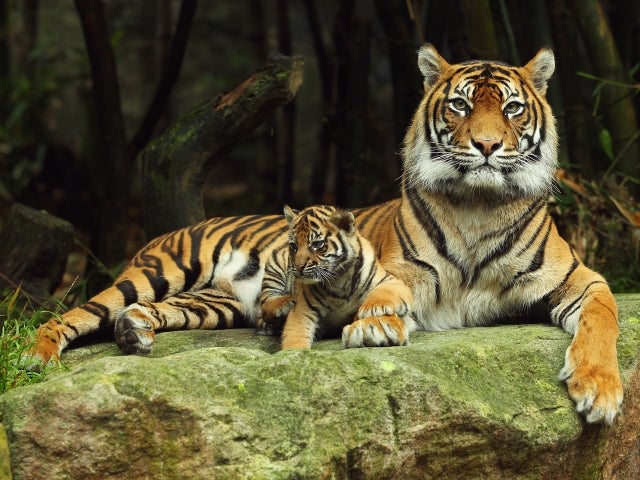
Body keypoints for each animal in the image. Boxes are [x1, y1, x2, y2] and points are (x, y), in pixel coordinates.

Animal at [260, 204, 414, 349]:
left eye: (317, 244)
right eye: (294, 246)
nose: (298, 266)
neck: (340, 279)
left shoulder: (391, 280)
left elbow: (384, 292)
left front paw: (372, 308)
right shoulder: (303, 311)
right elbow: (295, 336)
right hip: (275, 266)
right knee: (265, 303)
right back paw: (287, 302)